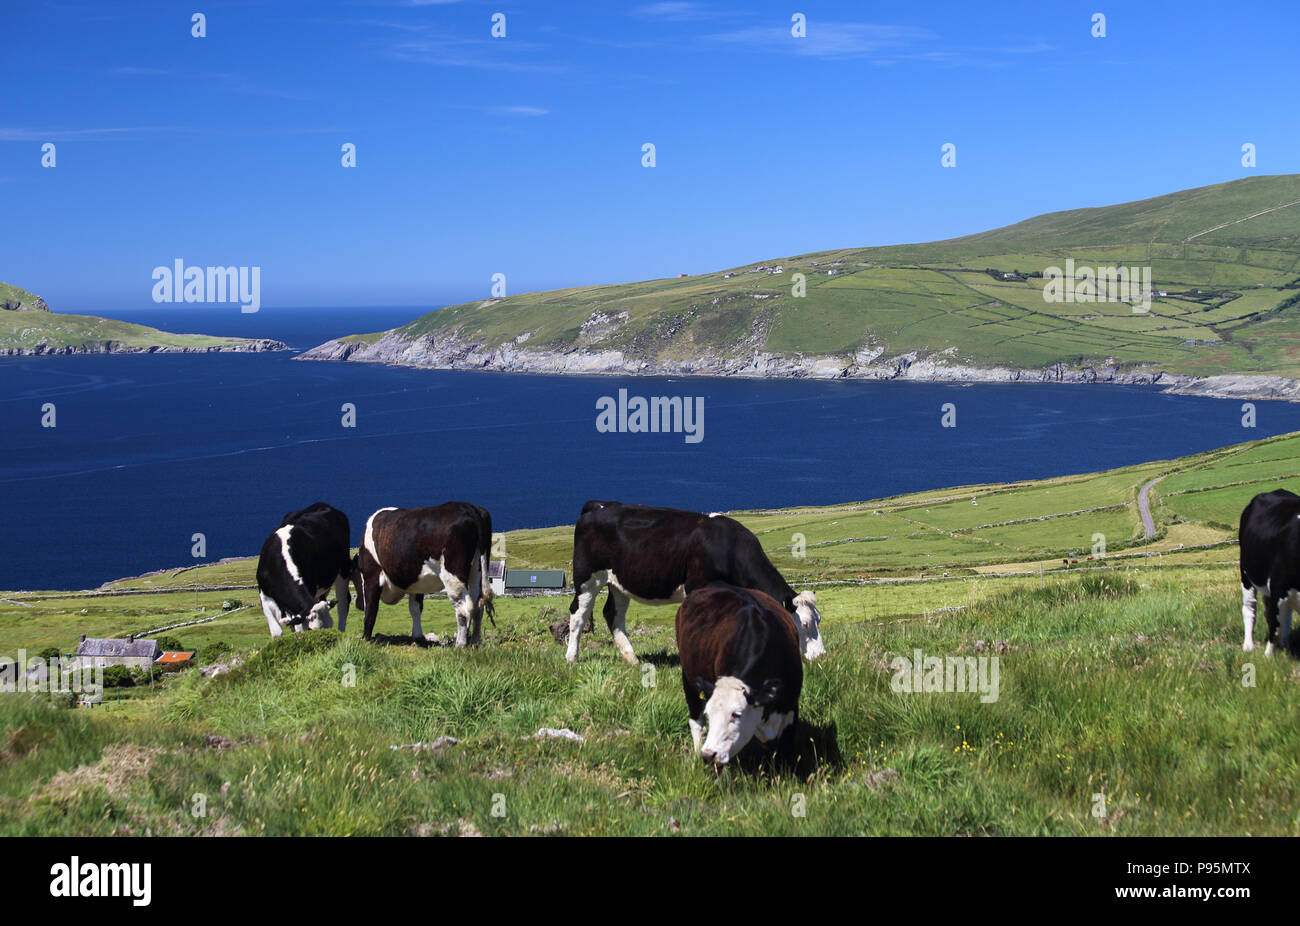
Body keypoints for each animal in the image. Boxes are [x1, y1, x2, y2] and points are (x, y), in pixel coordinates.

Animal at [254, 502, 351, 639]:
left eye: (330, 626)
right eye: (312, 629)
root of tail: (324, 504)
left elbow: (300, 629)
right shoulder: (264, 596)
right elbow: (277, 633)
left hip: (343, 569)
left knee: (343, 604)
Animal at [353, 502, 493, 647]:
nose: (358, 604)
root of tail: (469, 507)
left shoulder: (371, 576)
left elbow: (370, 610)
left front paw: (365, 639)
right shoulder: (417, 583)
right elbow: (415, 609)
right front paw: (418, 636)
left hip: (453, 577)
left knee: (464, 608)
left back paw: (460, 644)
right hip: (477, 570)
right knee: (478, 605)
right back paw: (475, 641)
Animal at [566, 499, 821, 665]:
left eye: (819, 619)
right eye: (805, 623)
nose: (821, 656)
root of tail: (598, 505)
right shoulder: (697, 586)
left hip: (619, 582)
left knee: (613, 614)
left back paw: (632, 660)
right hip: (587, 577)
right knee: (578, 613)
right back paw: (572, 658)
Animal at [670, 585, 800, 764]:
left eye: (736, 714)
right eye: (709, 713)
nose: (708, 754)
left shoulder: (791, 709)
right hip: (688, 678)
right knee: (696, 722)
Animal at [1242, 491, 1300, 658]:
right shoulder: (1277, 589)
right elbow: (1274, 626)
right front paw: (1268, 656)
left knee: (1286, 616)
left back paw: (1286, 645)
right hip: (1247, 575)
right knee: (1250, 608)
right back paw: (1248, 645)